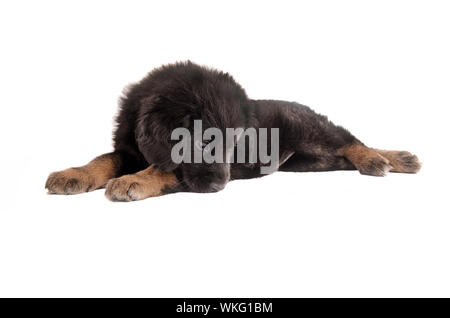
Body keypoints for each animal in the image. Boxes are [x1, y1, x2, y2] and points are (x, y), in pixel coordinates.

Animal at [45, 61, 422, 201]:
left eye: (235, 143)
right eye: (203, 140)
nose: (219, 186)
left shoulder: (178, 171)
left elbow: (163, 168)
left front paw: (132, 181)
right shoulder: (127, 148)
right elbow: (103, 158)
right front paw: (72, 174)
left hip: (310, 129)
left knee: (349, 140)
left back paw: (381, 159)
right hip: (310, 161)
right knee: (342, 155)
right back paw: (397, 159)